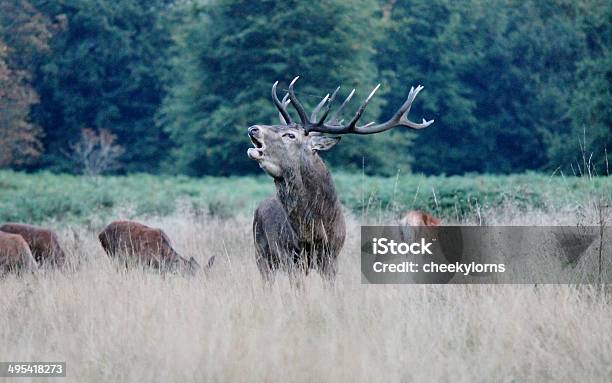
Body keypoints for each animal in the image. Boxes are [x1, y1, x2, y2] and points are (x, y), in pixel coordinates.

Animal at [246, 76, 432, 280]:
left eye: (290, 135)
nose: (253, 128)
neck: (312, 229)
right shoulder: (290, 256)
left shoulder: (332, 256)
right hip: (261, 254)